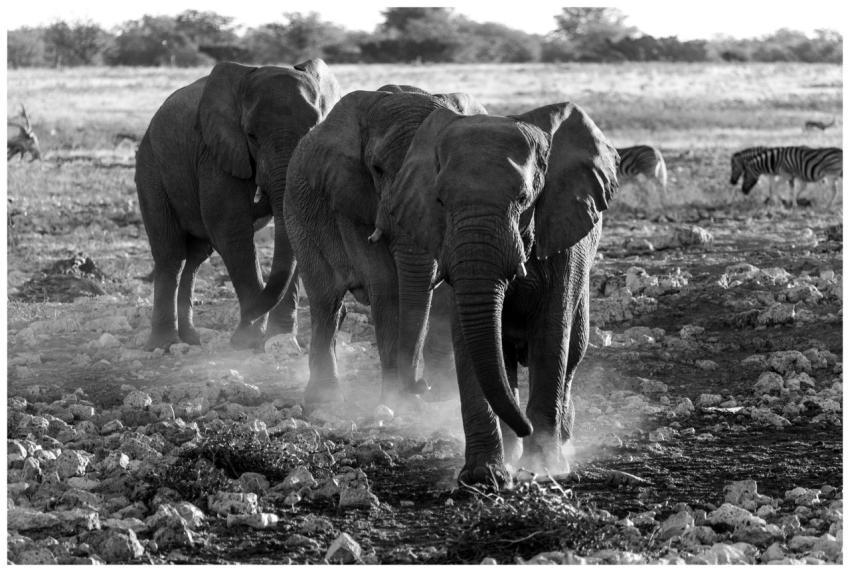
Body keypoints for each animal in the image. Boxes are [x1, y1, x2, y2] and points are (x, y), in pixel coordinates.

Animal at [135, 59, 341, 350]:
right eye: (251, 135)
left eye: (313, 130)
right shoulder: (215, 152)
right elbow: (231, 230)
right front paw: (247, 341)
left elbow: (298, 231)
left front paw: (281, 339)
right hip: (150, 167)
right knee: (170, 254)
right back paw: (163, 344)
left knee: (196, 256)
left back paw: (192, 339)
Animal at [284, 87, 486, 407]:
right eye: (377, 170)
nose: (419, 386)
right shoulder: (350, 197)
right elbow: (385, 282)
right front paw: (394, 402)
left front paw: (430, 398)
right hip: (296, 216)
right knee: (326, 300)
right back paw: (324, 400)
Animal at [387, 102, 619, 485]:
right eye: (440, 200)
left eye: (524, 199)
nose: (423, 388)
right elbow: (469, 340)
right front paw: (483, 475)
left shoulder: (562, 233)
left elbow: (551, 334)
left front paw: (543, 469)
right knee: (505, 359)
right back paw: (512, 453)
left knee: (572, 353)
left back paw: (558, 442)